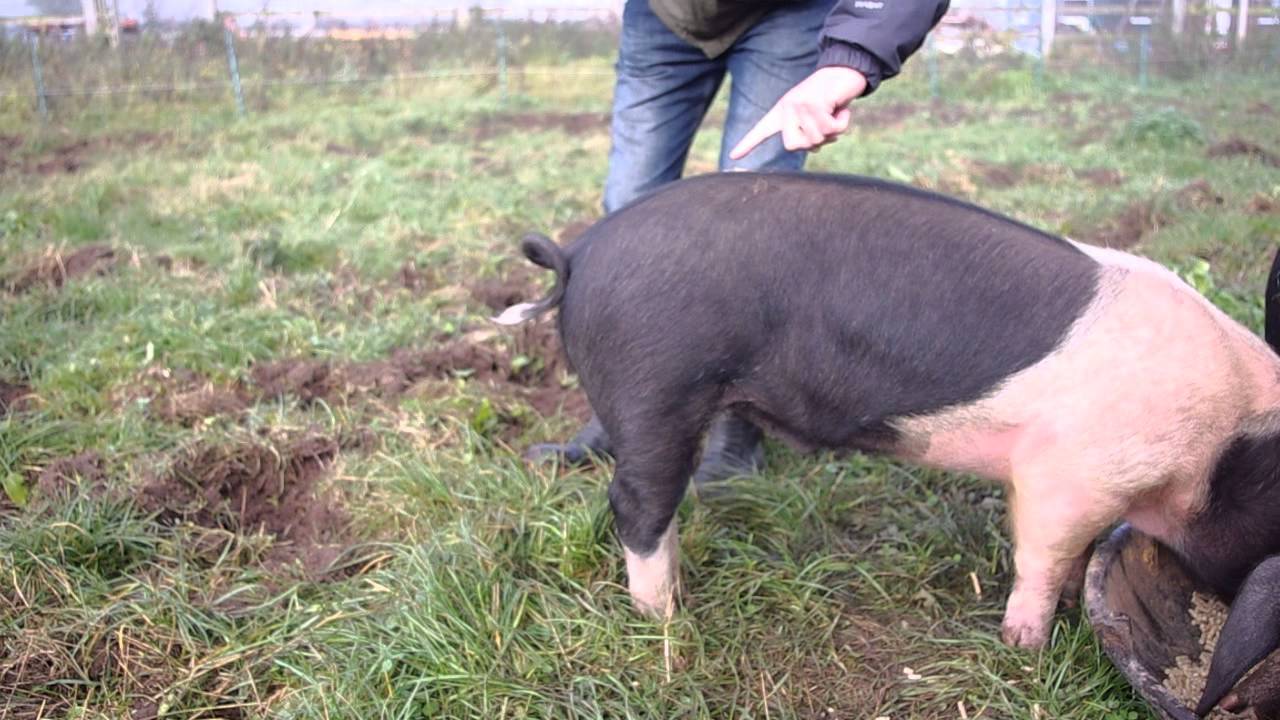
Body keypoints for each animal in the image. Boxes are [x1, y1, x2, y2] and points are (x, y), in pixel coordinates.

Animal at [492, 171, 1280, 717]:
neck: (1218, 454)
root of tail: (578, 254)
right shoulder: (1071, 472)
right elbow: (1042, 555)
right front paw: (1026, 646)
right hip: (657, 386)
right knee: (637, 502)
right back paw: (666, 618)